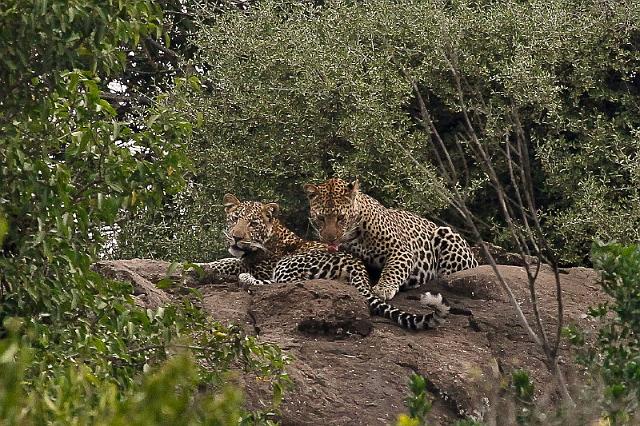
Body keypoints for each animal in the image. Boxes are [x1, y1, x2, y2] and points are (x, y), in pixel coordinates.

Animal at [198, 192, 452, 330]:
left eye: (253, 223)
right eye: (234, 219)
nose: (236, 236)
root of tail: (358, 267)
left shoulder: (261, 264)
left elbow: (228, 262)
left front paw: (201, 267)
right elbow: (225, 259)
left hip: (289, 264)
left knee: (281, 284)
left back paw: (246, 279)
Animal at [302, 178, 478, 302]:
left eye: (340, 218)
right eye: (321, 218)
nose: (330, 239)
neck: (353, 235)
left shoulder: (401, 251)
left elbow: (393, 269)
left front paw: (383, 289)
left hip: (446, 233)